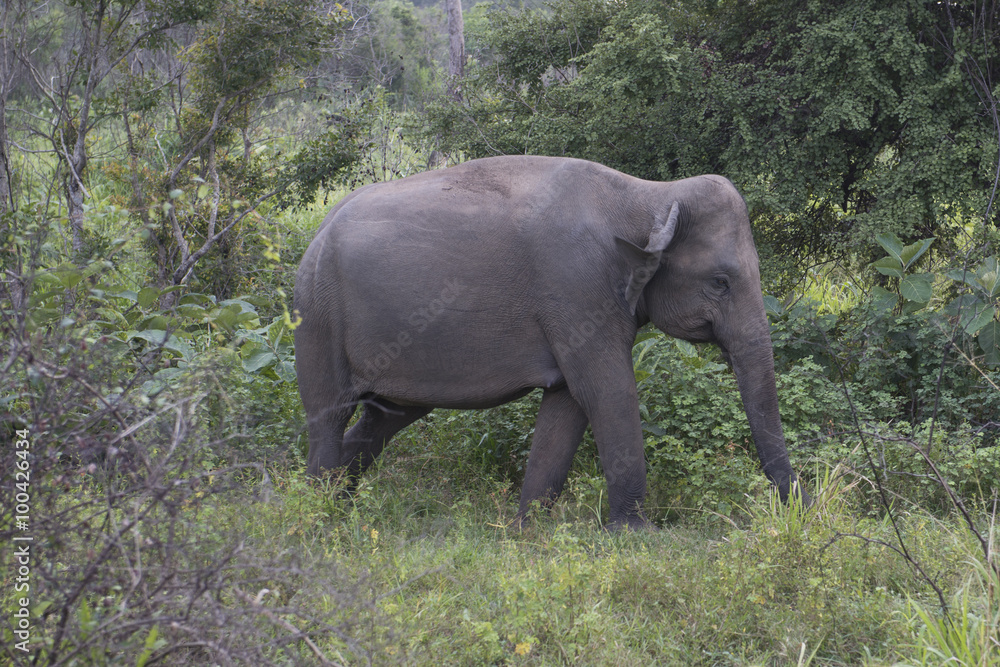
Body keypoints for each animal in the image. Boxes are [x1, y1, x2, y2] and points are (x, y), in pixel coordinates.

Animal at [292, 154, 808, 528]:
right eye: (721, 282)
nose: (795, 512)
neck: (648, 193)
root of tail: (317, 232)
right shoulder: (577, 288)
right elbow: (607, 392)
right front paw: (635, 536)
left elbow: (568, 405)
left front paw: (526, 533)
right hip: (318, 316)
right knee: (329, 413)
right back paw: (316, 517)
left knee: (386, 418)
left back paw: (340, 509)